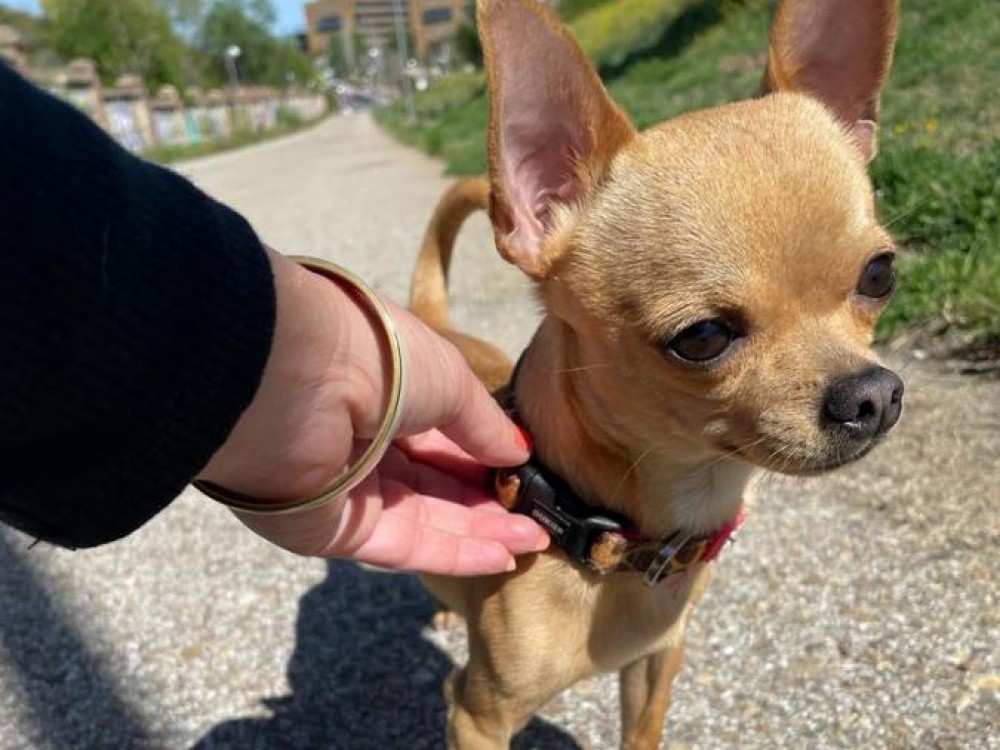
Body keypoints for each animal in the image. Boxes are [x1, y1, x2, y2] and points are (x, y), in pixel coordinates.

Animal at [411, 1, 904, 747]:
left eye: (880, 275)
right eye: (702, 338)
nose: (873, 395)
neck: (611, 532)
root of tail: (431, 321)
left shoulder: (654, 664)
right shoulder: (476, 713)